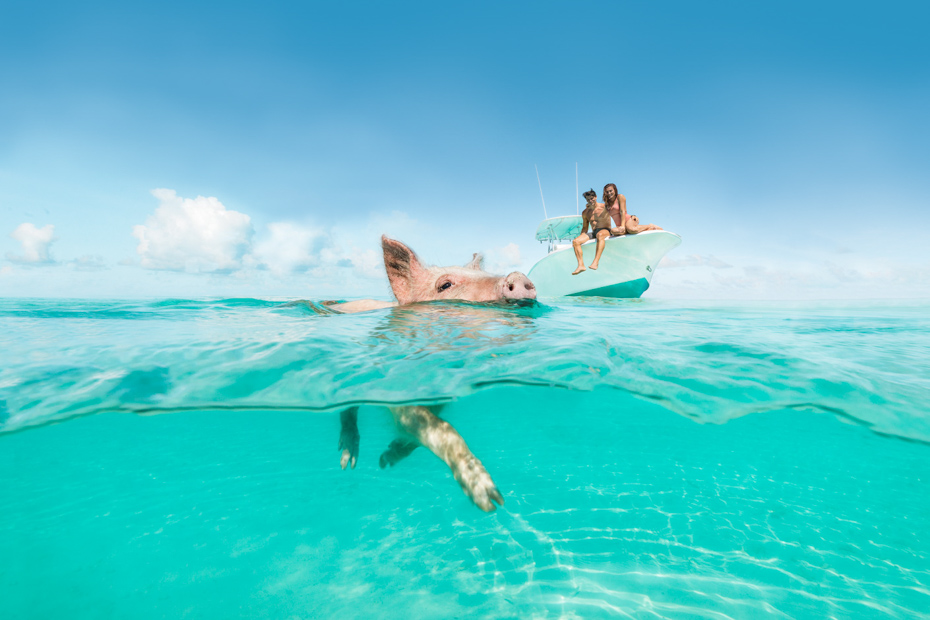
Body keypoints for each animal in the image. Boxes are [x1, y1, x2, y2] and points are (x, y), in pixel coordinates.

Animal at [327, 236, 536, 512]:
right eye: (445, 285)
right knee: (348, 409)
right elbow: (442, 429)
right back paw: (347, 462)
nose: (518, 276)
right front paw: (491, 500)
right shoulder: (398, 393)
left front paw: (386, 459)